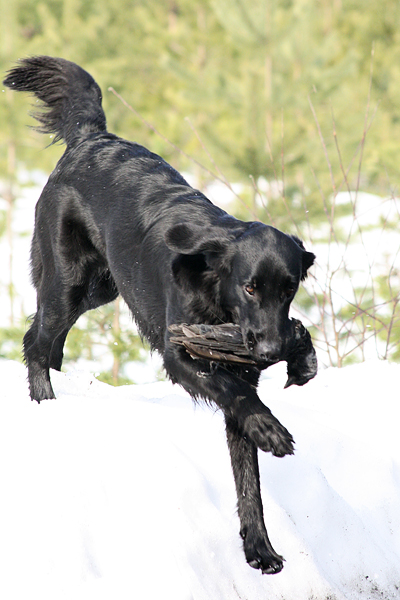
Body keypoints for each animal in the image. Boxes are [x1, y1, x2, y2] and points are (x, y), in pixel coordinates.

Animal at [3, 57, 316, 576]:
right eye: (250, 287)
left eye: (289, 290)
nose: (273, 351)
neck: (214, 289)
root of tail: (91, 138)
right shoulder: (181, 354)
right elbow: (235, 395)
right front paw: (272, 430)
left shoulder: (238, 372)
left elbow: (247, 477)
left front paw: (259, 548)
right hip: (70, 283)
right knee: (36, 341)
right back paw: (45, 403)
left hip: (103, 287)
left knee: (50, 342)